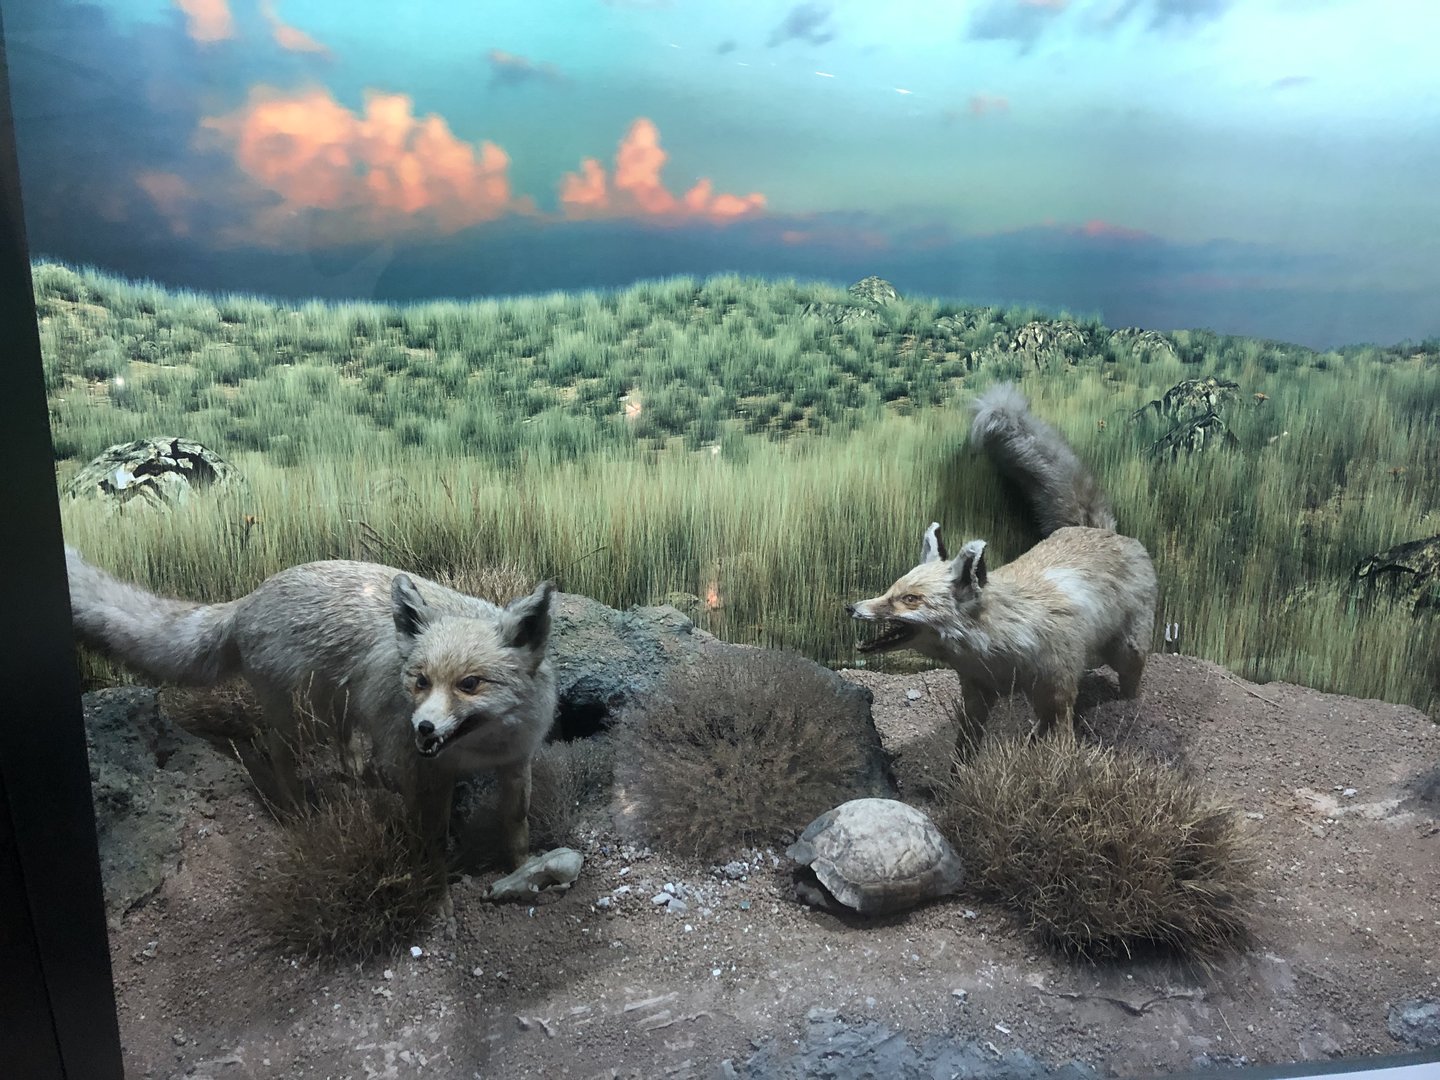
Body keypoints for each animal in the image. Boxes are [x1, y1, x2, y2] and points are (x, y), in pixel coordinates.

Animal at [64, 547, 558, 911]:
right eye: (420, 681)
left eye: (469, 684)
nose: (422, 727)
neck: (479, 750)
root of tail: (251, 597)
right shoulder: (425, 776)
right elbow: (430, 842)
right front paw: (438, 901)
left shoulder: (517, 762)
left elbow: (516, 825)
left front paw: (526, 869)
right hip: (300, 722)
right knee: (275, 751)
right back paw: (298, 808)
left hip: (340, 712)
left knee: (347, 750)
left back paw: (361, 778)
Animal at [846, 382, 1157, 761]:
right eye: (891, 590)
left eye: (909, 599)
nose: (852, 607)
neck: (1000, 652)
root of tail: (1093, 528)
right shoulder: (977, 695)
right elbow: (965, 751)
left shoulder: (1057, 694)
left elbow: (1061, 745)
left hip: (1129, 650)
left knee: (1130, 684)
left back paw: (1129, 708)